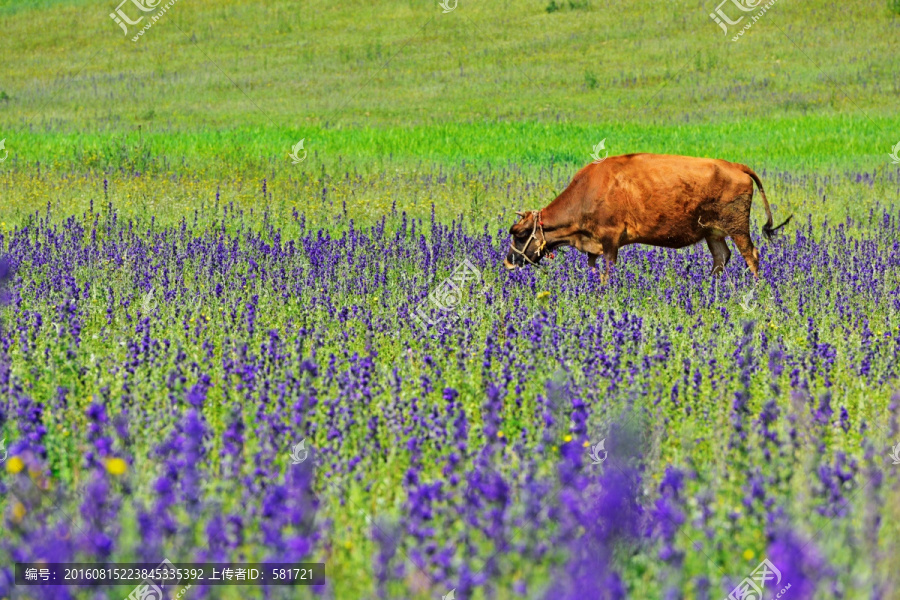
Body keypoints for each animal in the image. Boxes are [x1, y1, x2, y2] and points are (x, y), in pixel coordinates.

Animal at [502, 154, 792, 278]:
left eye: (521, 233)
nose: (508, 262)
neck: (589, 190)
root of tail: (736, 166)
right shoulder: (593, 244)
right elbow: (593, 268)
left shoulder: (610, 240)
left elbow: (608, 271)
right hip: (713, 233)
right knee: (721, 258)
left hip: (737, 229)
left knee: (751, 256)